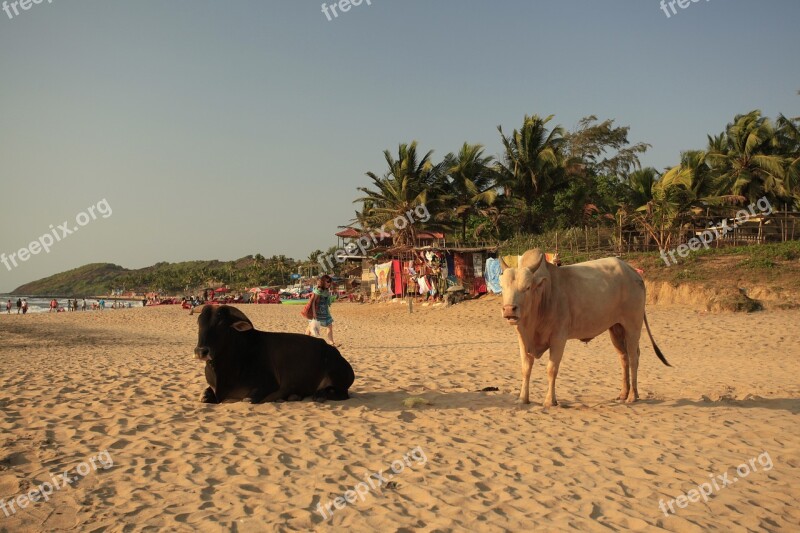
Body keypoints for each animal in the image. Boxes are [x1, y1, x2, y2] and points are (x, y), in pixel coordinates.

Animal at [192, 306, 354, 402]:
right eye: (199, 321)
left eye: (221, 323)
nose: (201, 351)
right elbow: (204, 397)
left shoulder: (267, 385)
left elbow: (247, 399)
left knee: (341, 394)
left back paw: (319, 395)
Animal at [500, 247, 668, 406]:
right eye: (502, 287)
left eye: (527, 287)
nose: (509, 309)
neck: (543, 296)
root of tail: (634, 273)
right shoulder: (523, 337)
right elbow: (526, 368)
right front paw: (523, 399)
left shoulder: (558, 337)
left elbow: (551, 369)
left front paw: (550, 401)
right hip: (616, 328)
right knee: (624, 357)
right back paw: (623, 394)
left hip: (632, 326)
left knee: (634, 357)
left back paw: (632, 396)